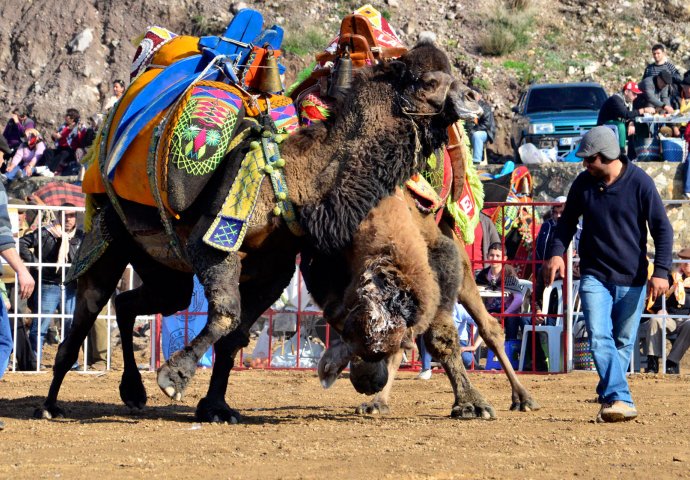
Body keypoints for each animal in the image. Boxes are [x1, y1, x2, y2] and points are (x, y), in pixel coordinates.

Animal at [33, 28, 478, 422]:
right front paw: (174, 376)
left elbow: (235, 335)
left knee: (131, 304)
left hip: (162, 267)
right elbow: (226, 314)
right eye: (429, 81)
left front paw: (215, 408)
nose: (474, 99)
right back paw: (50, 404)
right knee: (89, 308)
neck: (296, 179)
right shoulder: (216, 240)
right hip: (110, 236)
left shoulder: (273, 269)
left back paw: (132, 391)